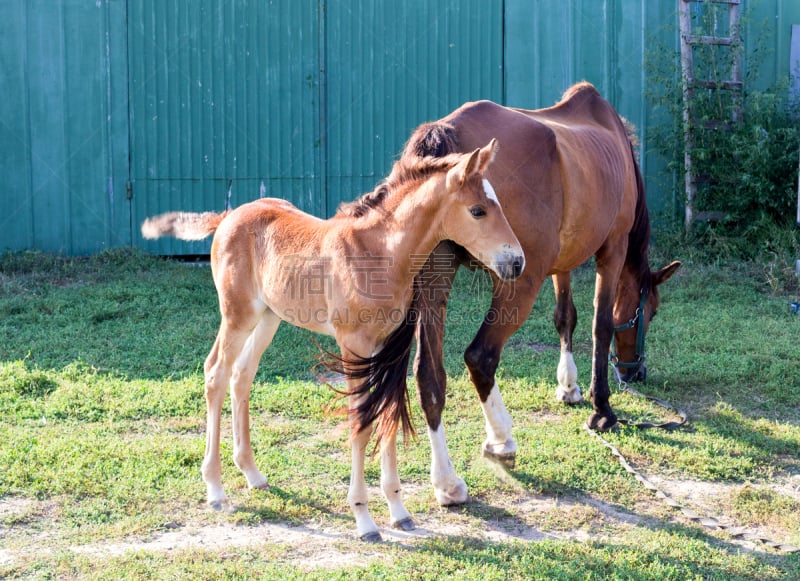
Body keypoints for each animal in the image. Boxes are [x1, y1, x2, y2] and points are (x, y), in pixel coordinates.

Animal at [141, 139, 528, 540]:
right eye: (478, 210)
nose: (516, 262)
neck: (378, 255)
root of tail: (229, 216)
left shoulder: (386, 349)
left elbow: (387, 414)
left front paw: (399, 511)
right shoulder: (352, 345)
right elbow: (361, 423)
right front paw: (364, 519)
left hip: (269, 317)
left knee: (241, 375)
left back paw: (252, 474)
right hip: (238, 316)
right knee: (215, 373)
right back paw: (215, 489)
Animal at [400, 81, 680, 502]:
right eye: (651, 312)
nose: (636, 373)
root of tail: (449, 134)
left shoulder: (562, 263)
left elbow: (566, 318)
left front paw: (570, 386)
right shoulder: (611, 250)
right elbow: (601, 326)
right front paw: (602, 409)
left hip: (435, 283)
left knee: (429, 378)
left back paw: (447, 481)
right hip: (518, 282)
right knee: (480, 356)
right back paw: (501, 441)